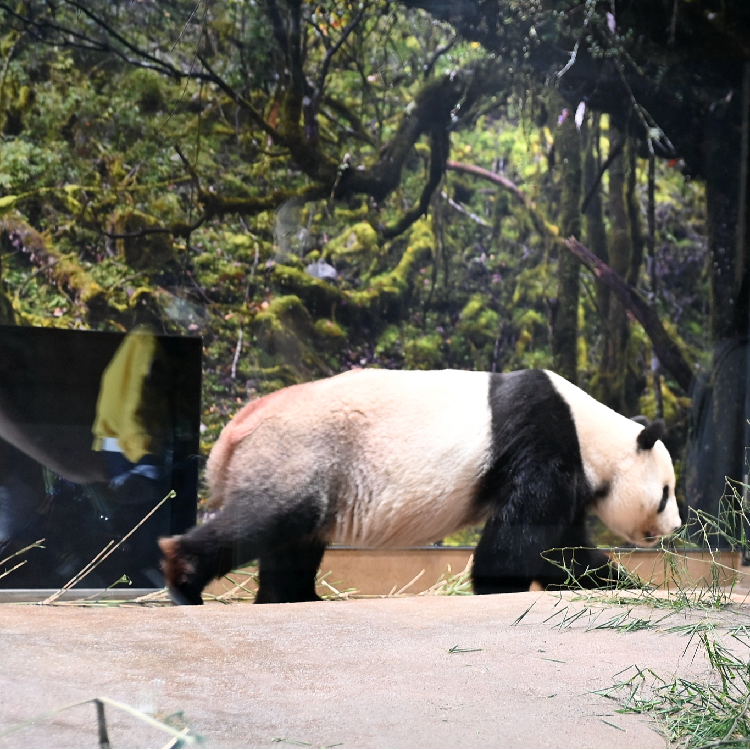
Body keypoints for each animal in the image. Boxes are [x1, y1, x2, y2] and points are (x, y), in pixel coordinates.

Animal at [159, 368, 681, 605]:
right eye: (665, 493)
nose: (674, 527)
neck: (590, 432)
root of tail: (233, 432)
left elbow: (566, 551)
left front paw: (625, 584)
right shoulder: (542, 441)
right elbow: (518, 539)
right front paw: (498, 588)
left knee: (292, 542)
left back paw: (292, 598)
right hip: (301, 451)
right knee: (264, 520)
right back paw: (184, 578)